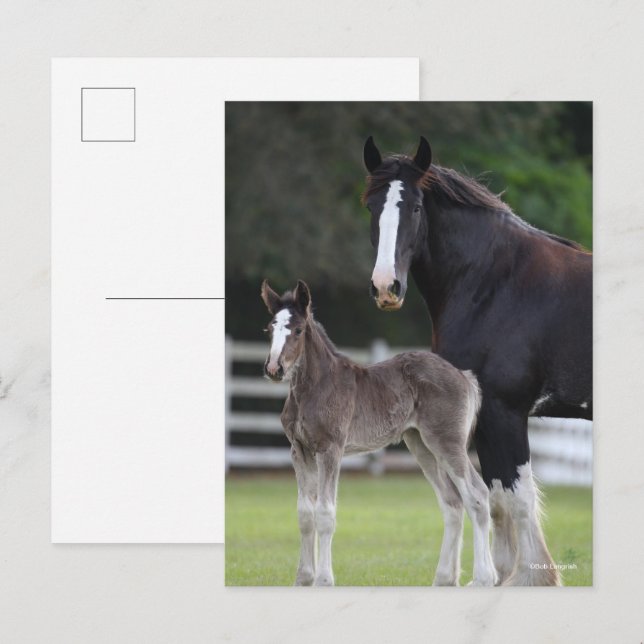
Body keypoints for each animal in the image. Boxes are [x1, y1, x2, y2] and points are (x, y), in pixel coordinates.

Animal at [261, 279, 498, 587]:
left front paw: (324, 580)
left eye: (298, 330)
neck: (313, 388)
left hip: (447, 442)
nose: (273, 368)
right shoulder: (299, 450)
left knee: (477, 495)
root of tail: (464, 375)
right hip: (421, 445)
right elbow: (304, 513)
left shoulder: (330, 450)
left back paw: (483, 578)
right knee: (452, 503)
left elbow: (325, 513)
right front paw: (303, 579)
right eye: (270, 328)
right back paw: (445, 578)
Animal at [362, 136, 592, 586]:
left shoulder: (505, 412)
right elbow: (497, 498)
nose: (385, 287)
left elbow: (516, 498)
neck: (498, 283)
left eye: (415, 207)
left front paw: (529, 578)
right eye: (371, 207)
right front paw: (501, 575)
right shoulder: (485, 417)